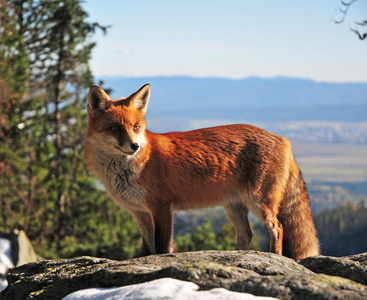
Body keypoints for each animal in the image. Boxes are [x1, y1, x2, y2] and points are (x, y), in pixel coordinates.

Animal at [85, 83, 320, 258]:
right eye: (115, 128)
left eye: (136, 127)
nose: (134, 146)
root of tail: (283, 139)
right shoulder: (140, 212)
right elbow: (148, 249)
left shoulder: (162, 207)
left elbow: (161, 248)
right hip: (234, 207)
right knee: (247, 234)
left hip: (258, 201)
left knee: (277, 227)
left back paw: (275, 256)